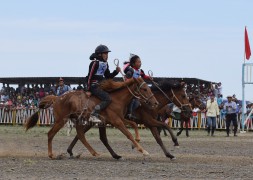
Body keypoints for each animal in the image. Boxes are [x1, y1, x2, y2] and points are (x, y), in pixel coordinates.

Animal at [24, 77, 158, 159]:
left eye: (149, 88)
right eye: (145, 89)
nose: (155, 103)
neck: (116, 100)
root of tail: (57, 98)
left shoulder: (119, 119)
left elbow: (134, 125)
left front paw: (137, 140)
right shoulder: (116, 121)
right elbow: (128, 134)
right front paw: (143, 151)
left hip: (77, 120)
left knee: (80, 135)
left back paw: (93, 152)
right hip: (61, 120)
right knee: (51, 134)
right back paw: (51, 154)